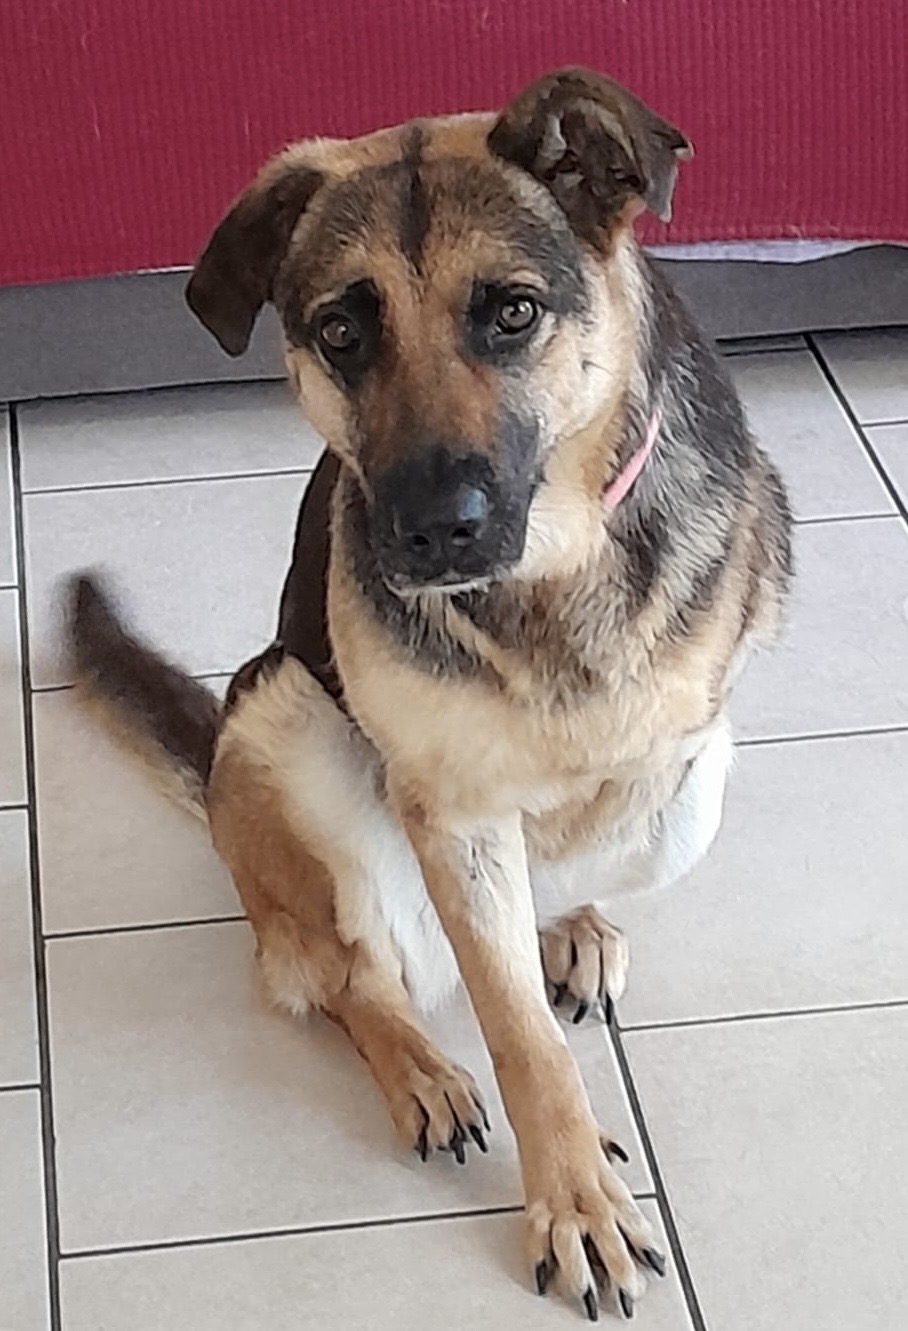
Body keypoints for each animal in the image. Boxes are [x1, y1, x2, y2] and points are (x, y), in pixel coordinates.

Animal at [69, 68, 792, 1321]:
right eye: (340, 332)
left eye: (510, 313)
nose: (433, 529)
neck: (551, 567)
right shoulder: (448, 813)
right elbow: (519, 1033)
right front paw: (572, 1199)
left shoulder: (674, 743)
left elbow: (604, 787)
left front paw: (565, 889)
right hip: (283, 721)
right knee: (342, 973)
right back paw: (420, 1065)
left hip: (698, 795)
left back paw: (567, 919)